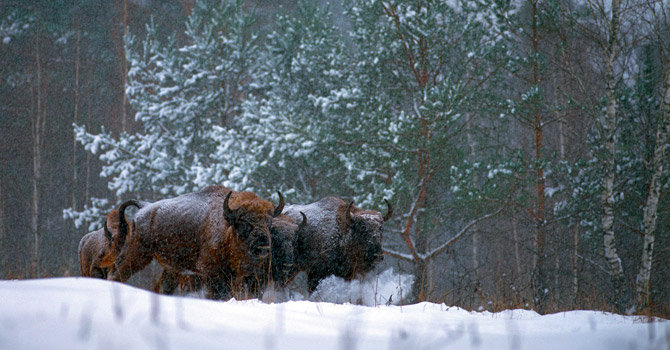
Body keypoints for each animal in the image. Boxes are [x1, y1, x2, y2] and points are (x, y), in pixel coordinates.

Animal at [106, 185, 284, 300]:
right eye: (244, 223)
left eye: (269, 223)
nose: (263, 244)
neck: (226, 226)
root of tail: (144, 208)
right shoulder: (211, 272)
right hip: (139, 252)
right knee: (119, 274)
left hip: (172, 268)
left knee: (162, 287)